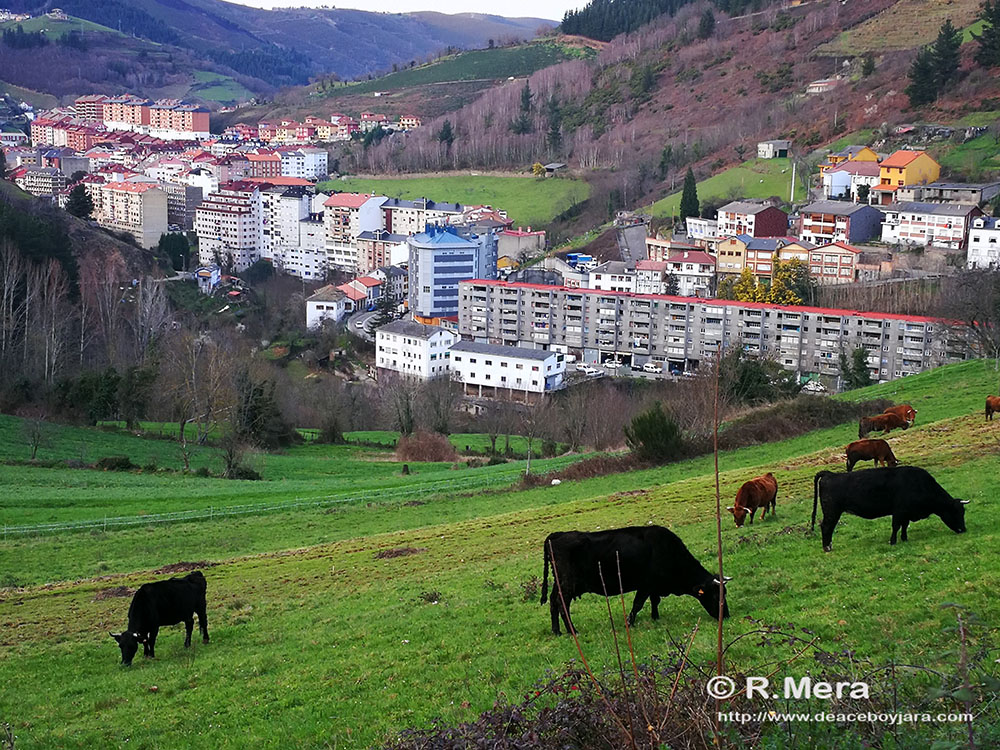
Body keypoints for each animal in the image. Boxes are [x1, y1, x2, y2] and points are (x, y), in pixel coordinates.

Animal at [544, 524, 732, 636]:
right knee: (562, 604)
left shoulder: (654, 586)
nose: (727, 616)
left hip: (559, 584)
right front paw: (630, 622)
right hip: (567, 584)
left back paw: (557, 631)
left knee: (553, 602)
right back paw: (572, 631)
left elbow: (654, 601)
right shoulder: (646, 584)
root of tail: (557, 535)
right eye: (716, 595)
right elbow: (638, 604)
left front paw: (655, 617)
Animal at [812, 470, 968, 552]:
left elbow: (904, 526)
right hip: (832, 512)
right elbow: (896, 526)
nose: (964, 530)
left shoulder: (906, 513)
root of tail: (830, 474)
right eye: (956, 512)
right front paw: (893, 541)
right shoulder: (899, 511)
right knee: (826, 527)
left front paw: (904, 538)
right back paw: (827, 547)